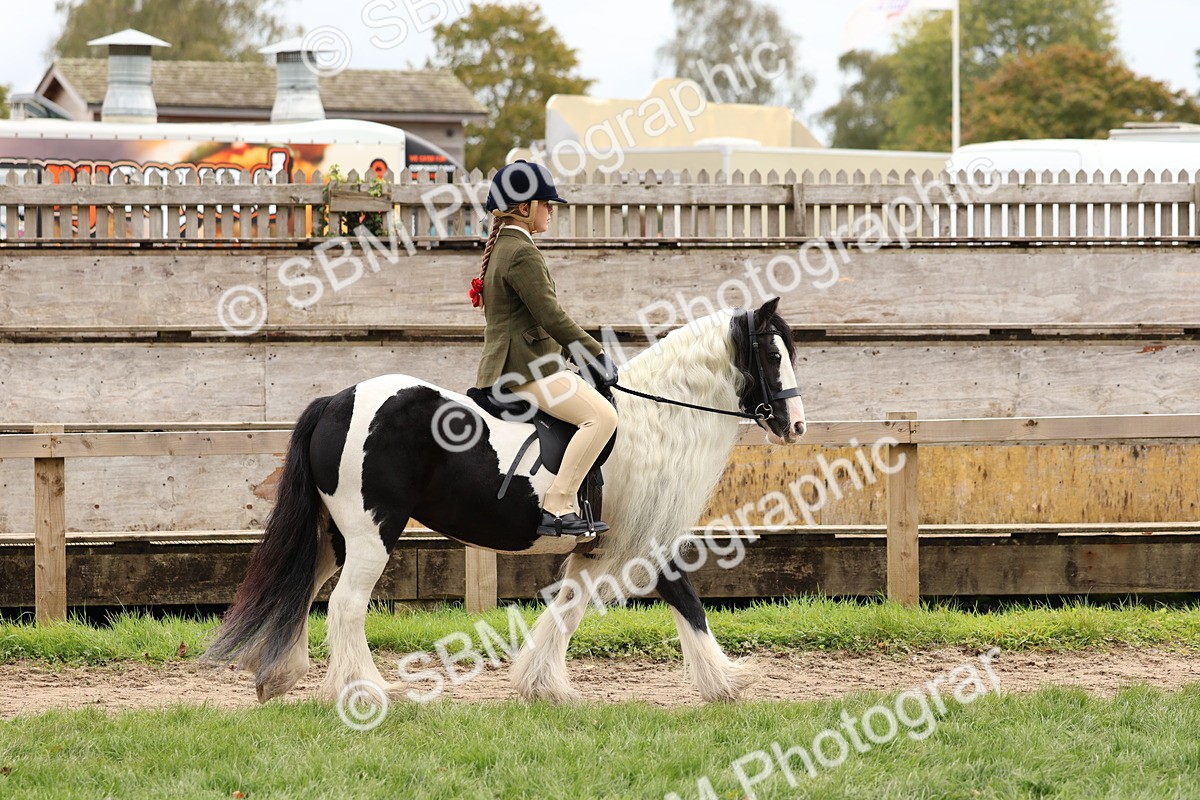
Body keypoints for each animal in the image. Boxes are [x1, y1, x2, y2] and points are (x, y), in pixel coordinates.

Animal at [204, 297, 806, 704]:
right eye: (770, 354)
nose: (796, 426)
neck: (655, 418)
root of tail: (337, 399)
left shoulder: (597, 549)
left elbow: (568, 608)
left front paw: (542, 685)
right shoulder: (648, 539)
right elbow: (689, 603)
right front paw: (727, 682)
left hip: (335, 536)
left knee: (306, 588)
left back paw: (286, 678)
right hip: (373, 535)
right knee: (346, 605)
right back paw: (367, 690)